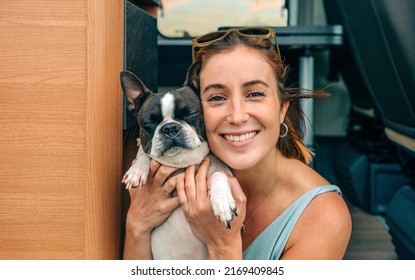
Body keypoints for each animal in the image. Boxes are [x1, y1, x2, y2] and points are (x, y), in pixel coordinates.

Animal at [120, 63, 237, 258]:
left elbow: (219, 174)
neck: (181, 164)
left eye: (191, 113)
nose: (169, 128)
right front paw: (137, 171)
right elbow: (144, 152)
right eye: (148, 122)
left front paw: (222, 202)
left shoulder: (223, 170)